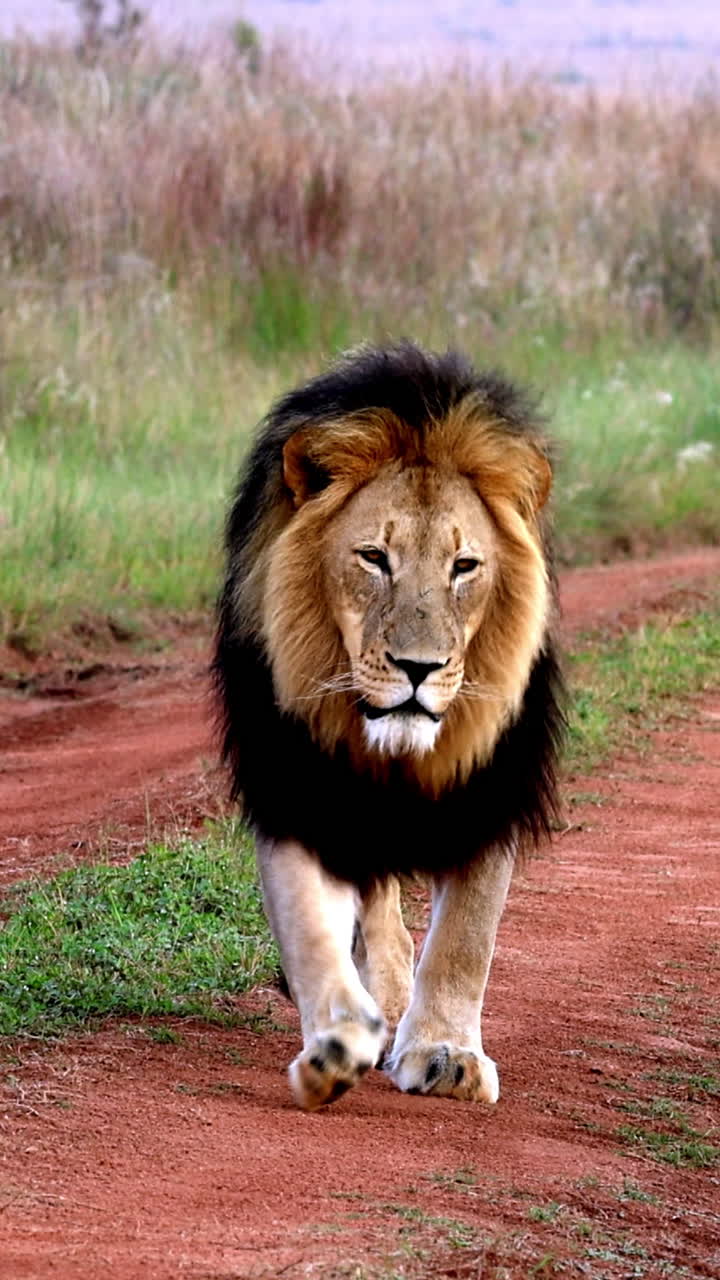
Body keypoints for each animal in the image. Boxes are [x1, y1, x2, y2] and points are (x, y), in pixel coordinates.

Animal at [214, 341, 564, 1110]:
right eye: (374, 558)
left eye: (465, 566)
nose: (417, 667)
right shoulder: (296, 786)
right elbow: (310, 926)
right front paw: (338, 1042)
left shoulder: (490, 790)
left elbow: (467, 937)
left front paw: (447, 1053)